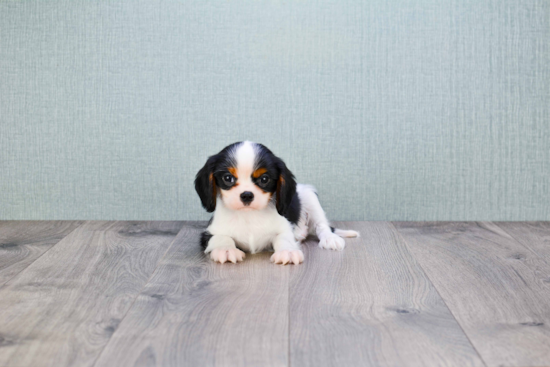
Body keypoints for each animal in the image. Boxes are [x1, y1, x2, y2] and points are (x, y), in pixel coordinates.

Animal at [196, 141, 360, 264]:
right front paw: (225, 249)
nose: (247, 195)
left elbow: (284, 238)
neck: (249, 216)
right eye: (227, 178)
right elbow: (221, 237)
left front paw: (287, 251)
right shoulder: (209, 232)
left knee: (322, 226)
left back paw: (329, 238)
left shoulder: (284, 228)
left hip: (309, 196)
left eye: (264, 179)